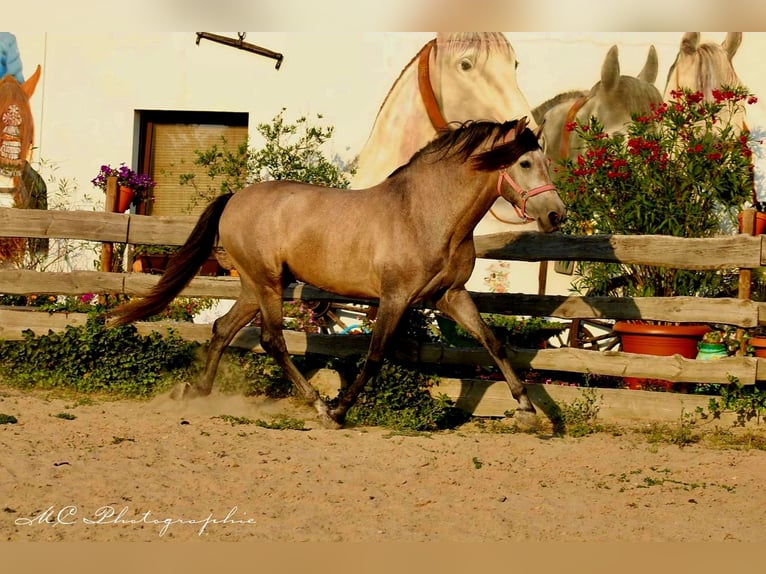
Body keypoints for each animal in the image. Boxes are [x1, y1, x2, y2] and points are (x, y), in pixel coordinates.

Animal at [111, 119, 568, 430]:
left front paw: (528, 412)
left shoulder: (450, 296)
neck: (424, 214)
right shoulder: (396, 297)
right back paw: (316, 404)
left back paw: (196, 392)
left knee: (223, 328)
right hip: (268, 284)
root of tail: (236, 197)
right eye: (525, 162)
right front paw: (340, 410)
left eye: (545, 162)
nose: (556, 215)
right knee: (272, 340)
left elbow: (493, 342)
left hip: (253, 286)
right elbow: (375, 355)